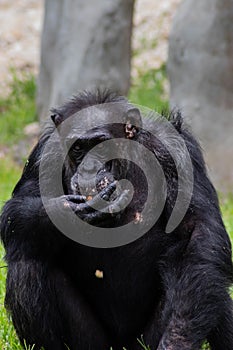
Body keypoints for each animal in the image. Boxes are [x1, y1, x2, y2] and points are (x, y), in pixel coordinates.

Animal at [0, 89, 233, 348]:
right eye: (78, 148)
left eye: (100, 146)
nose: (89, 168)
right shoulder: (44, 154)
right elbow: (15, 212)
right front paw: (72, 211)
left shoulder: (176, 149)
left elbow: (197, 231)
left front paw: (176, 342)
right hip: (91, 342)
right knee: (27, 263)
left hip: (144, 340)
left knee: (204, 274)